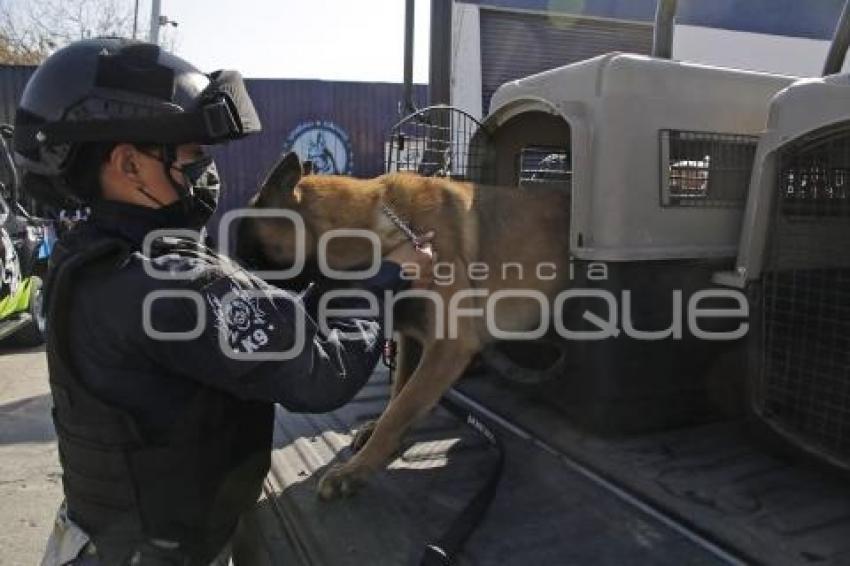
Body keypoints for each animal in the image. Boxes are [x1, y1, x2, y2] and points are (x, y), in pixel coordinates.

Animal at [237, 152, 568, 502]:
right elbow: (398, 394)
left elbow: (400, 408)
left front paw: (354, 470)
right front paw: (376, 437)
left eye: (251, 261)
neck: (377, 231)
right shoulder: (412, 339)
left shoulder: (446, 348)